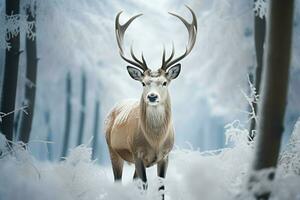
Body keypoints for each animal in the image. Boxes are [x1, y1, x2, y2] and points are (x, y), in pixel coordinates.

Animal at [105, 5, 197, 197]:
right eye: (143, 83)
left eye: (164, 82)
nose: (152, 96)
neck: (155, 142)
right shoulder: (137, 153)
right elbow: (144, 186)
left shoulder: (166, 155)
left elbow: (161, 188)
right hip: (111, 149)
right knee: (118, 181)